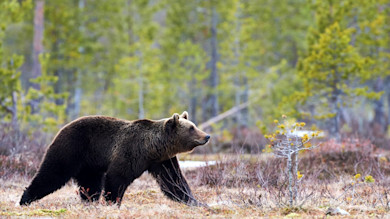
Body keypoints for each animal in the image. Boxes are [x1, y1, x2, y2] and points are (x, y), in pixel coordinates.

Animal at [19, 112, 210, 206]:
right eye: (192, 128)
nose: (207, 136)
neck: (153, 147)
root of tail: (63, 127)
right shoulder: (130, 152)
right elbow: (117, 178)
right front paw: (112, 202)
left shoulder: (162, 161)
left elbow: (174, 182)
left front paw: (196, 202)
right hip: (72, 147)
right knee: (53, 173)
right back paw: (25, 199)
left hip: (90, 163)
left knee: (90, 183)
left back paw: (90, 201)